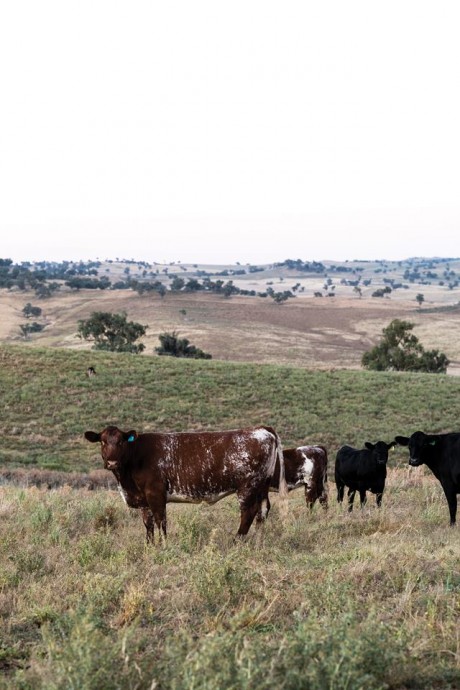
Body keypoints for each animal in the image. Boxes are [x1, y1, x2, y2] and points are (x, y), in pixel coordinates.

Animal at [84, 422, 286, 540]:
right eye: (102, 441)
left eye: (121, 442)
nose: (112, 462)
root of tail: (261, 430)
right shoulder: (143, 500)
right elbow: (148, 525)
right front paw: (149, 547)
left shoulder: (155, 494)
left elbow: (161, 521)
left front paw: (163, 546)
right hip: (263, 485)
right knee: (263, 510)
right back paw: (258, 540)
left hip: (248, 486)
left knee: (248, 512)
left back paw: (237, 541)